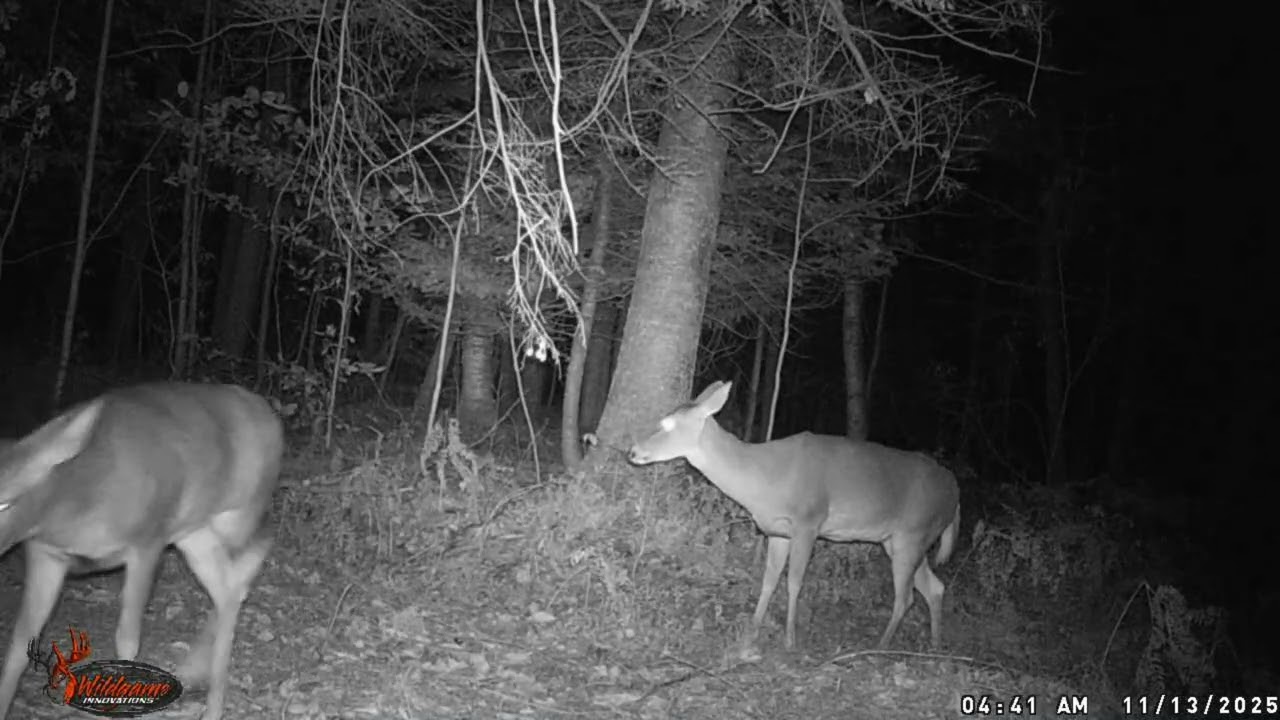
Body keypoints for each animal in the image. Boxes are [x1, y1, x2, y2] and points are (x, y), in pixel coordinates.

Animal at [0, 383, 284, 720]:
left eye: (5, 502)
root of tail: (268, 413)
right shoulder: (45, 553)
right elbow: (20, 642)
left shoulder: (148, 538)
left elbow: (127, 639)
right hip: (193, 531)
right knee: (229, 588)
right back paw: (202, 688)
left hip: (237, 514)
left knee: (252, 558)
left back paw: (207, 693)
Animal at [628, 380, 960, 651]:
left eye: (668, 424)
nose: (632, 451)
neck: (765, 479)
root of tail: (955, 492)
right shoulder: (778, 530)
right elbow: (769, 579)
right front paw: (752, 631)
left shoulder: (808, 521)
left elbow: (794, 581)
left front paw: (790, 640)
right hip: (899, 540)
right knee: (934, 587)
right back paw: (934, 645)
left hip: (913, 532)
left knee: (906, 597)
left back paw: (881, 646)